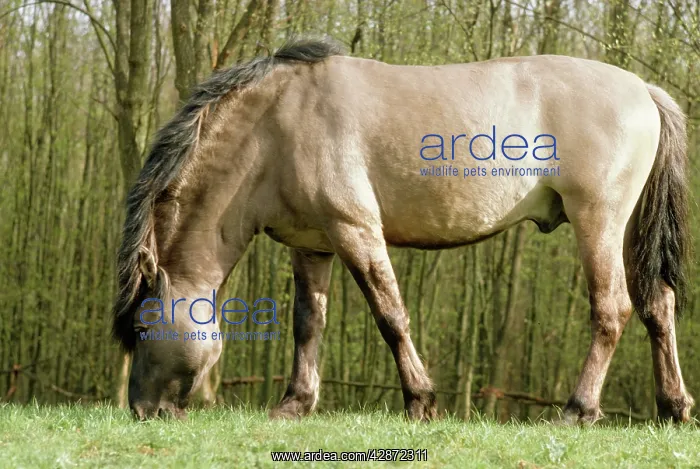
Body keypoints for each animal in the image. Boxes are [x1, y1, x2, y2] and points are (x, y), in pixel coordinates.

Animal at [113, 37, 694, 423]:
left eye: (141, 328)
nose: (141, 410)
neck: (276, 124)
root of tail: (643, 88)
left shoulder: (356, 230)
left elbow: (390, 316)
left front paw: (419, 400)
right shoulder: (311, 245)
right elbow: (308, 324)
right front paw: (295, 404)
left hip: (598, 221)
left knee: (612, 310)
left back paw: (578, 408)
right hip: (627, 229)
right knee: (657, 306)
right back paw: (673, 407)